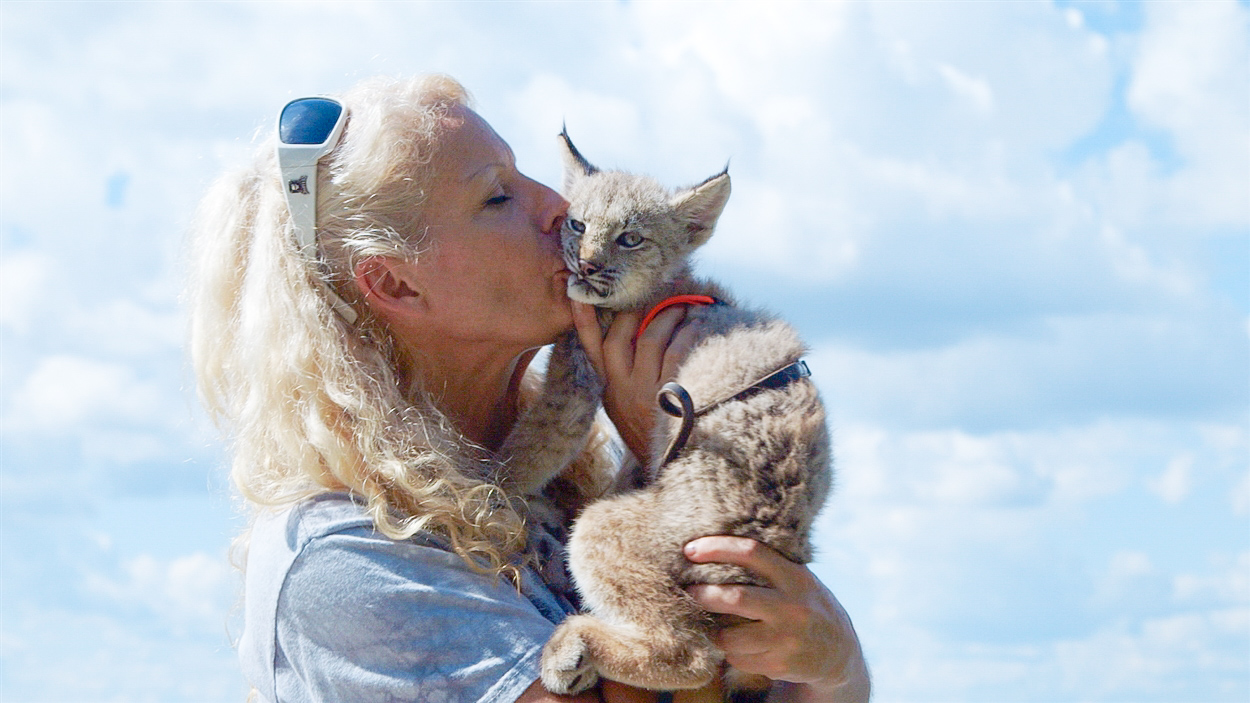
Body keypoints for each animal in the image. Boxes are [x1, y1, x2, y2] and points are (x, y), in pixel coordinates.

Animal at [535, 128, 830, 695]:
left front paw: (496, 485)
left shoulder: (577, 369)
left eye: (630, 239)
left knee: (694, 652)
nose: (586, 264)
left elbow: (533, 444)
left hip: (612, 530)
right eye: (577, 223)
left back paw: (573, 646)